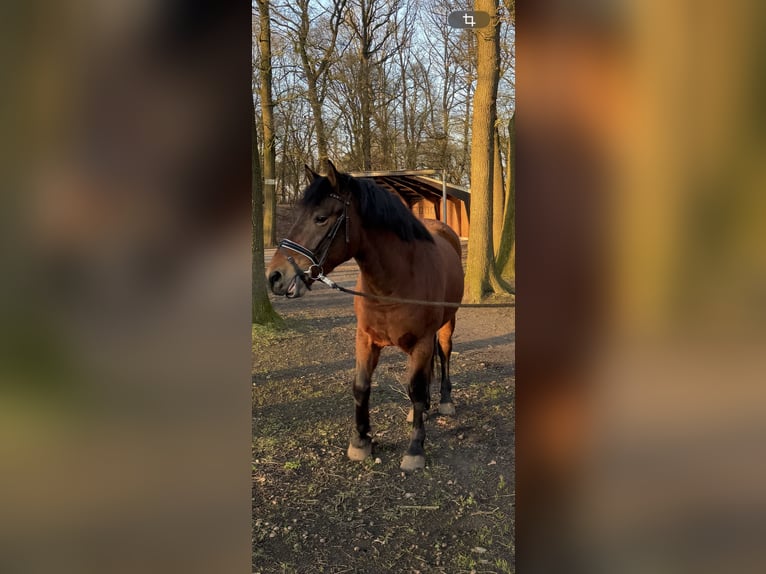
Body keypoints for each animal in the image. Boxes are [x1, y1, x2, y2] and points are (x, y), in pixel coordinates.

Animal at [266, 160, 464, 471]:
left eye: (321, 218)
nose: (275, 276)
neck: (394, 284)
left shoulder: (421, 341)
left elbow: (416, 389)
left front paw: (415, 449)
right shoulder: (366, 339)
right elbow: (362, 386)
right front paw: (361, 442)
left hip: (446, 324)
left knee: (443, 354)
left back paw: (444, 400)